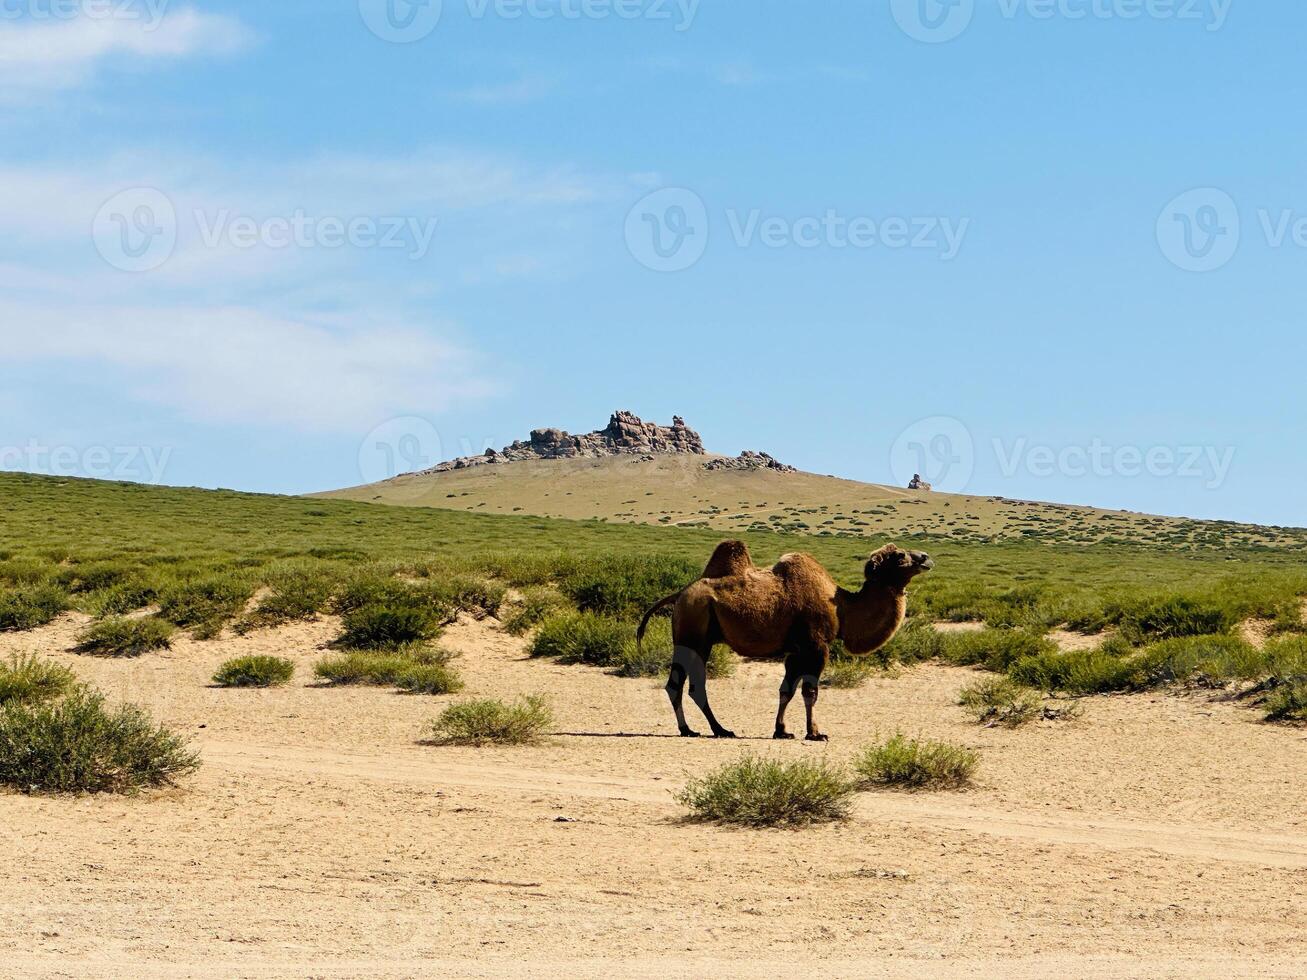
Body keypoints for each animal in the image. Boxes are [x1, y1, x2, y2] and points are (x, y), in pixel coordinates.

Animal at [632, 540, 930, 742]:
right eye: (899, 555)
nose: (926, 557)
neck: (843, 607)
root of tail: (679, 594)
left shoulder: (796, 651)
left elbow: (786, 689)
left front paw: (782, 731)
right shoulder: (816, 646)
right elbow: (810, 691)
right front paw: (815, 733)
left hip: (696, 641)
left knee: (684, 685)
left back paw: (701, 729)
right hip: (692, 637)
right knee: (685, 685)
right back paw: (710, 729)